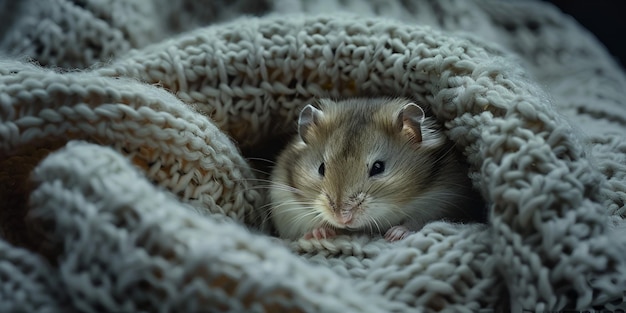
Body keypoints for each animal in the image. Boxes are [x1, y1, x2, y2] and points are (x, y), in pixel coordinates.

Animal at [268, 97, 482, 241]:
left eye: (378, 167)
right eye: (321, 168)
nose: (342, 218)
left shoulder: (445, 201)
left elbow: (418, 221)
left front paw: (394, 235)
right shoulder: (286, 206)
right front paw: (320, 232)